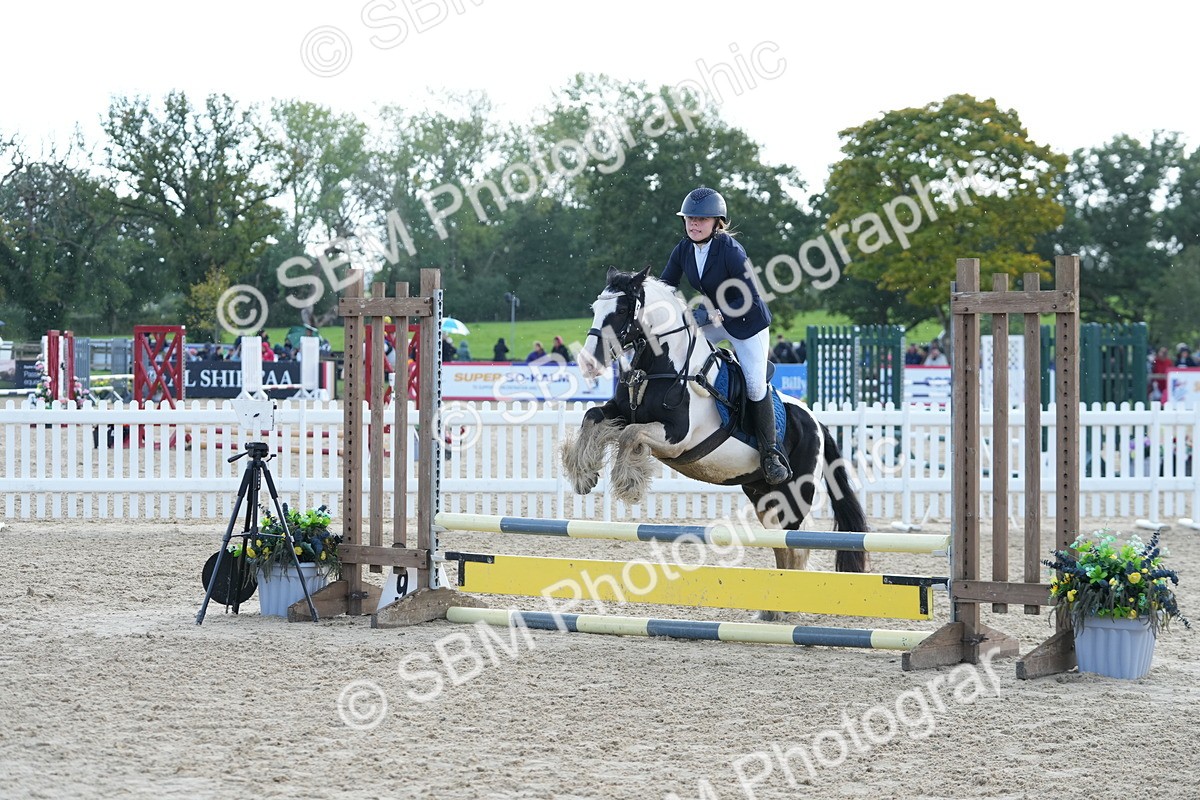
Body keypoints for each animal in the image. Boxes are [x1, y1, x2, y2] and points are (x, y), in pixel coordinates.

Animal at [560, 266, 869, 595]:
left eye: (620, 310)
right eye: (595, 308)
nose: (588, 363)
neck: (661, 365)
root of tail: (817, 422)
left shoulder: (676, 437)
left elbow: (630, 433)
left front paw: (628, 484)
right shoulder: (620, 411)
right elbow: (592, 416)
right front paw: (583, 474)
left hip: (794, 495)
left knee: (797, 548)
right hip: (763, 496)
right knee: (781, 545)